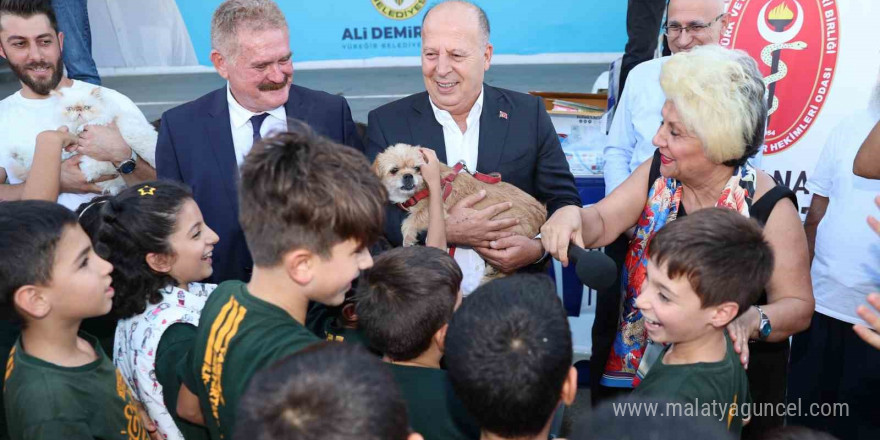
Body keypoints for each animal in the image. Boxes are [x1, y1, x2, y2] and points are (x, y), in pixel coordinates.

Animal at [372, 144, 552, 276]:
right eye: (394, 170)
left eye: (417, 168)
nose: (408, 176)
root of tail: (542, 216)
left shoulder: (436, 208)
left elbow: (412, 219)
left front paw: (408, 237)